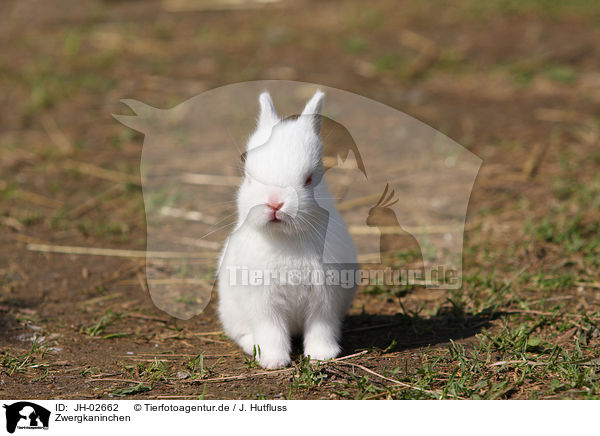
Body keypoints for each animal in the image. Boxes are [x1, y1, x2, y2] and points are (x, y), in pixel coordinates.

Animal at [218, 90, 358, 370]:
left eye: (310, 178)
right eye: (249, 177)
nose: (275, 203)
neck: (286, 239)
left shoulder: (325, 303)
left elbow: (320, 329)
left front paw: (321, 356)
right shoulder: (264, 305)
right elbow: (271, 331)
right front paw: (273, 361)